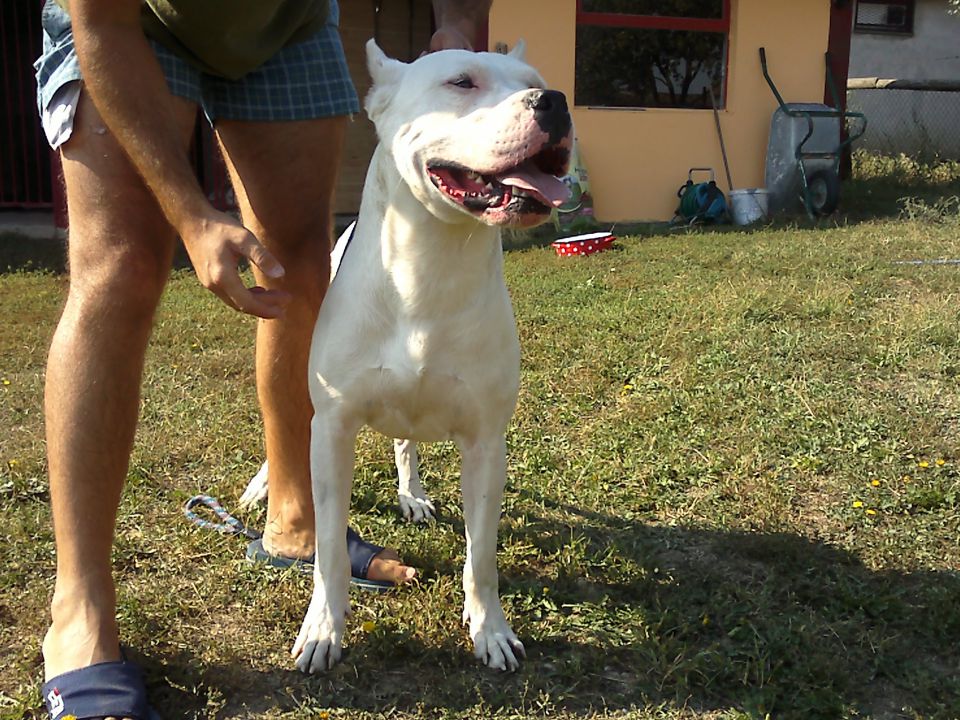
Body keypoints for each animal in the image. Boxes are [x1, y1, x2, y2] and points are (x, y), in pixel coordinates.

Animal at [251, 40, 572, 676]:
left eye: (535, 79)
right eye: (461, 82)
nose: (554, 100)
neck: (431, 262)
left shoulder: (486, 443)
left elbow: (482, 555)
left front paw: (489, 629)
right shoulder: (332, 431)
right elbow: (328, 549)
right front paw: (323, 628)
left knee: (406, 442)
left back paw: (413, 494)